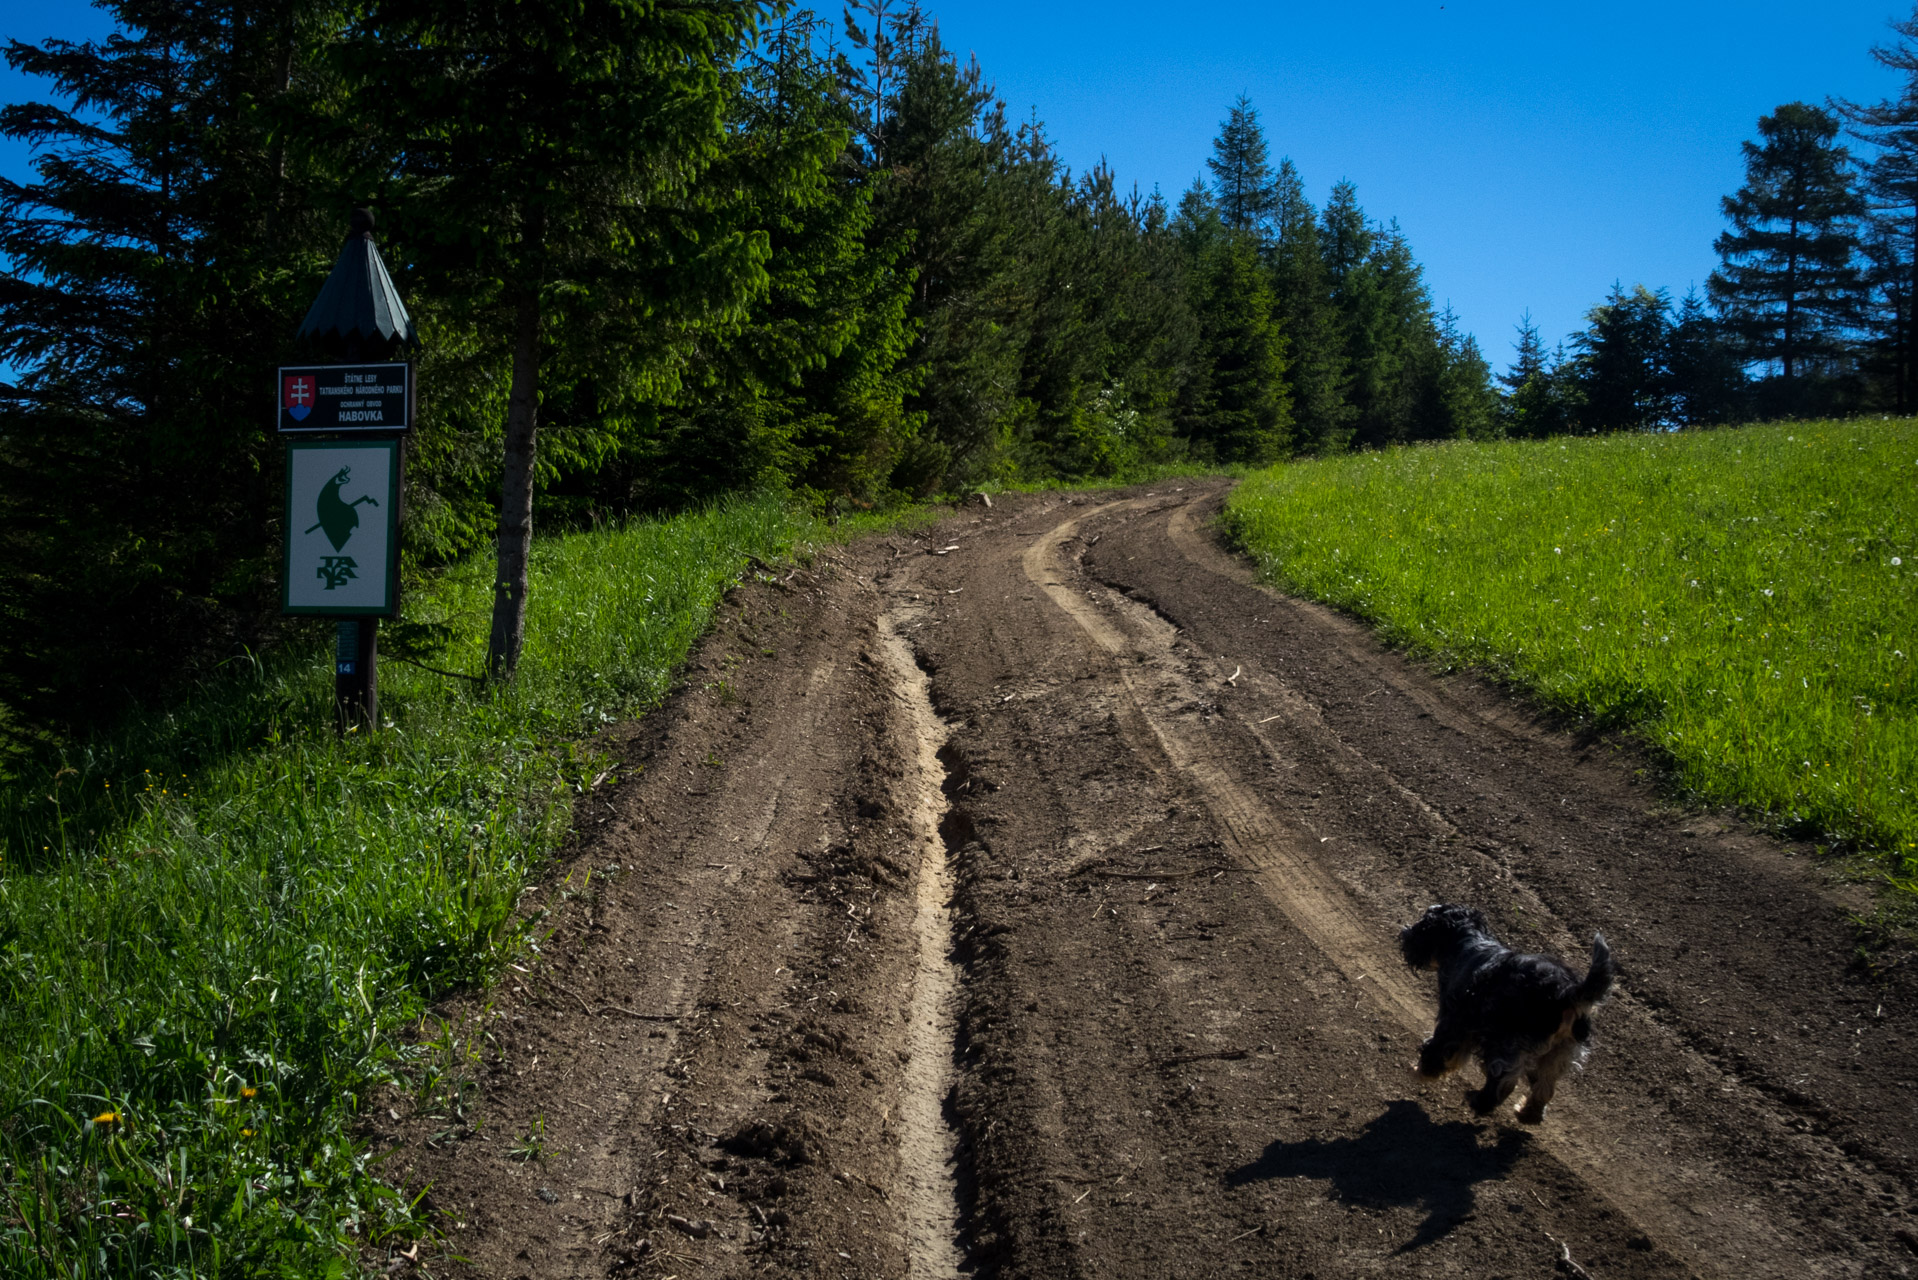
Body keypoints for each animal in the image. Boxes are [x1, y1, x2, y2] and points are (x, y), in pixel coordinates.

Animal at [1403, 905, 1611, 1128]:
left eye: (1423, 923)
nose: (1405, 932)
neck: (1468, 943)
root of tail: (1567, 992)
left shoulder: (1454, 1023)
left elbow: (1436, 1051)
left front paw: (1419, 1071)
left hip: (1506, 1042)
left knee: (1504, 1081)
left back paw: (1480, 1101)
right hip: (1561, 1052)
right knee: (1545, 1086)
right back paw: (1528, 1114)